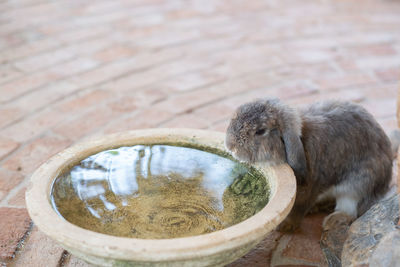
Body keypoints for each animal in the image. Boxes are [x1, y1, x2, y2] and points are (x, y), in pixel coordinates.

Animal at [227, 99, 392, 232]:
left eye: (260, 131)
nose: (230, 146)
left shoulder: (309, 189)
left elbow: (298, 210)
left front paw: (286, 226)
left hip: (359, 185)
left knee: (350, 210)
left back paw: (332, 221)